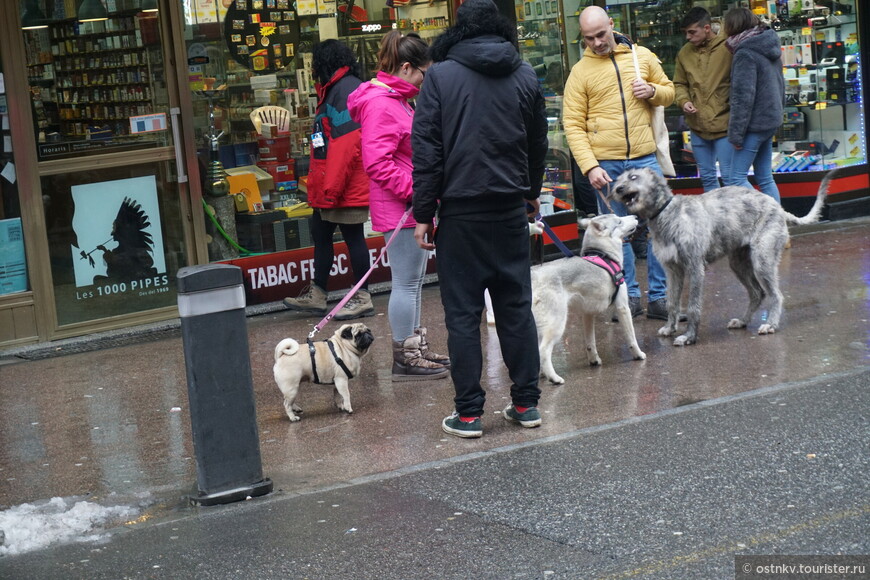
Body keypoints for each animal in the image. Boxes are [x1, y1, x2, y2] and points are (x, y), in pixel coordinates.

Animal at [532, 214, 648, 386]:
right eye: (619, 221)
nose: (635, 215)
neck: (605, 255)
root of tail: (534, 276)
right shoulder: (622, 307)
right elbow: (632, 337)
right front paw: (638, 355)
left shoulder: (587, 314)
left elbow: (590, 343)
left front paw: (594, 360)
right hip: (557, 325)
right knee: (543, 351)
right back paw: (554, 378)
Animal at [608, 167, 840, 344]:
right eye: (618, 178)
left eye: (633, 177)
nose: (617, 189)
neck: (668, 213)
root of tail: (780, 208)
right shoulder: (673, 270)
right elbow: (673, 302)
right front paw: (670, 328)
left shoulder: (695, 268)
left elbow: (693, 306)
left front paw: (689, 337)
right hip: (738, 263)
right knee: (757, 293)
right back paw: (743, 321)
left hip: (762, 261)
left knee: (776, 295)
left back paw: (770, 324)